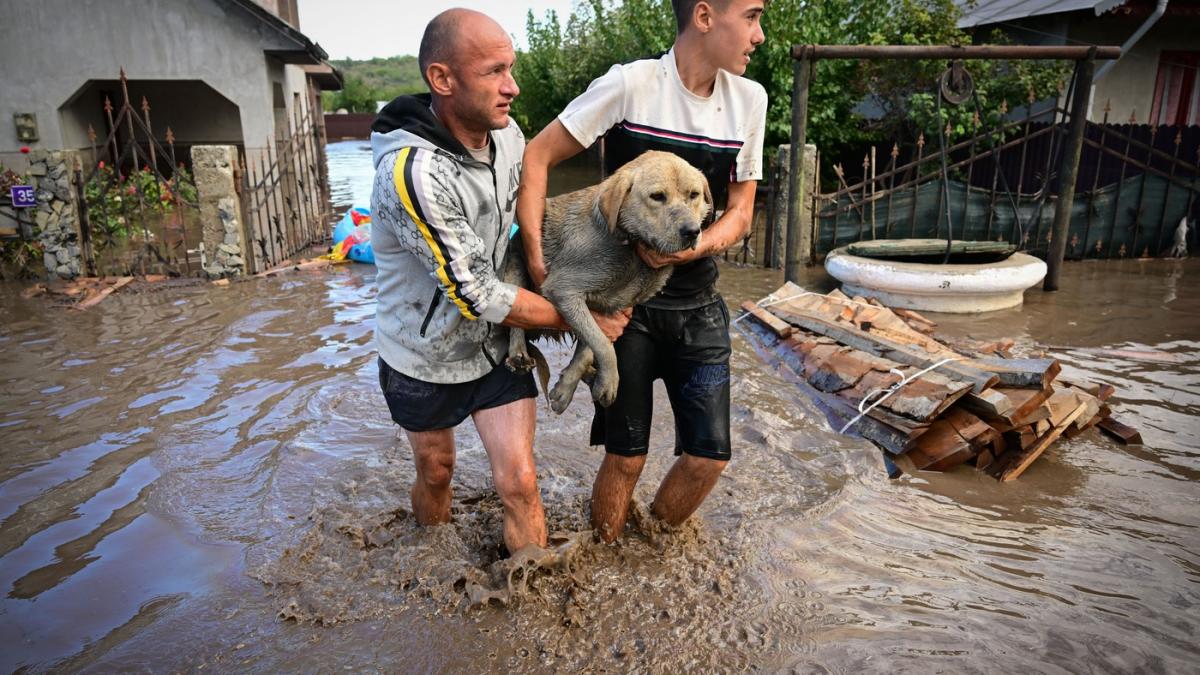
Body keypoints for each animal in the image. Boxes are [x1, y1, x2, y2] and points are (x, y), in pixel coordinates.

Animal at [504, 150, 710, 413]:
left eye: (694, 195)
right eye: (657, 196)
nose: (692, 231)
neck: (631, 248)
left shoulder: (608, 309)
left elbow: (589, 347)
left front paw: (567, 388)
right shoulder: (563, 289)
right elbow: (603, 345)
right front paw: (610, 381)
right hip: (515, 267)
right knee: (515, 324)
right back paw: (518, 352)